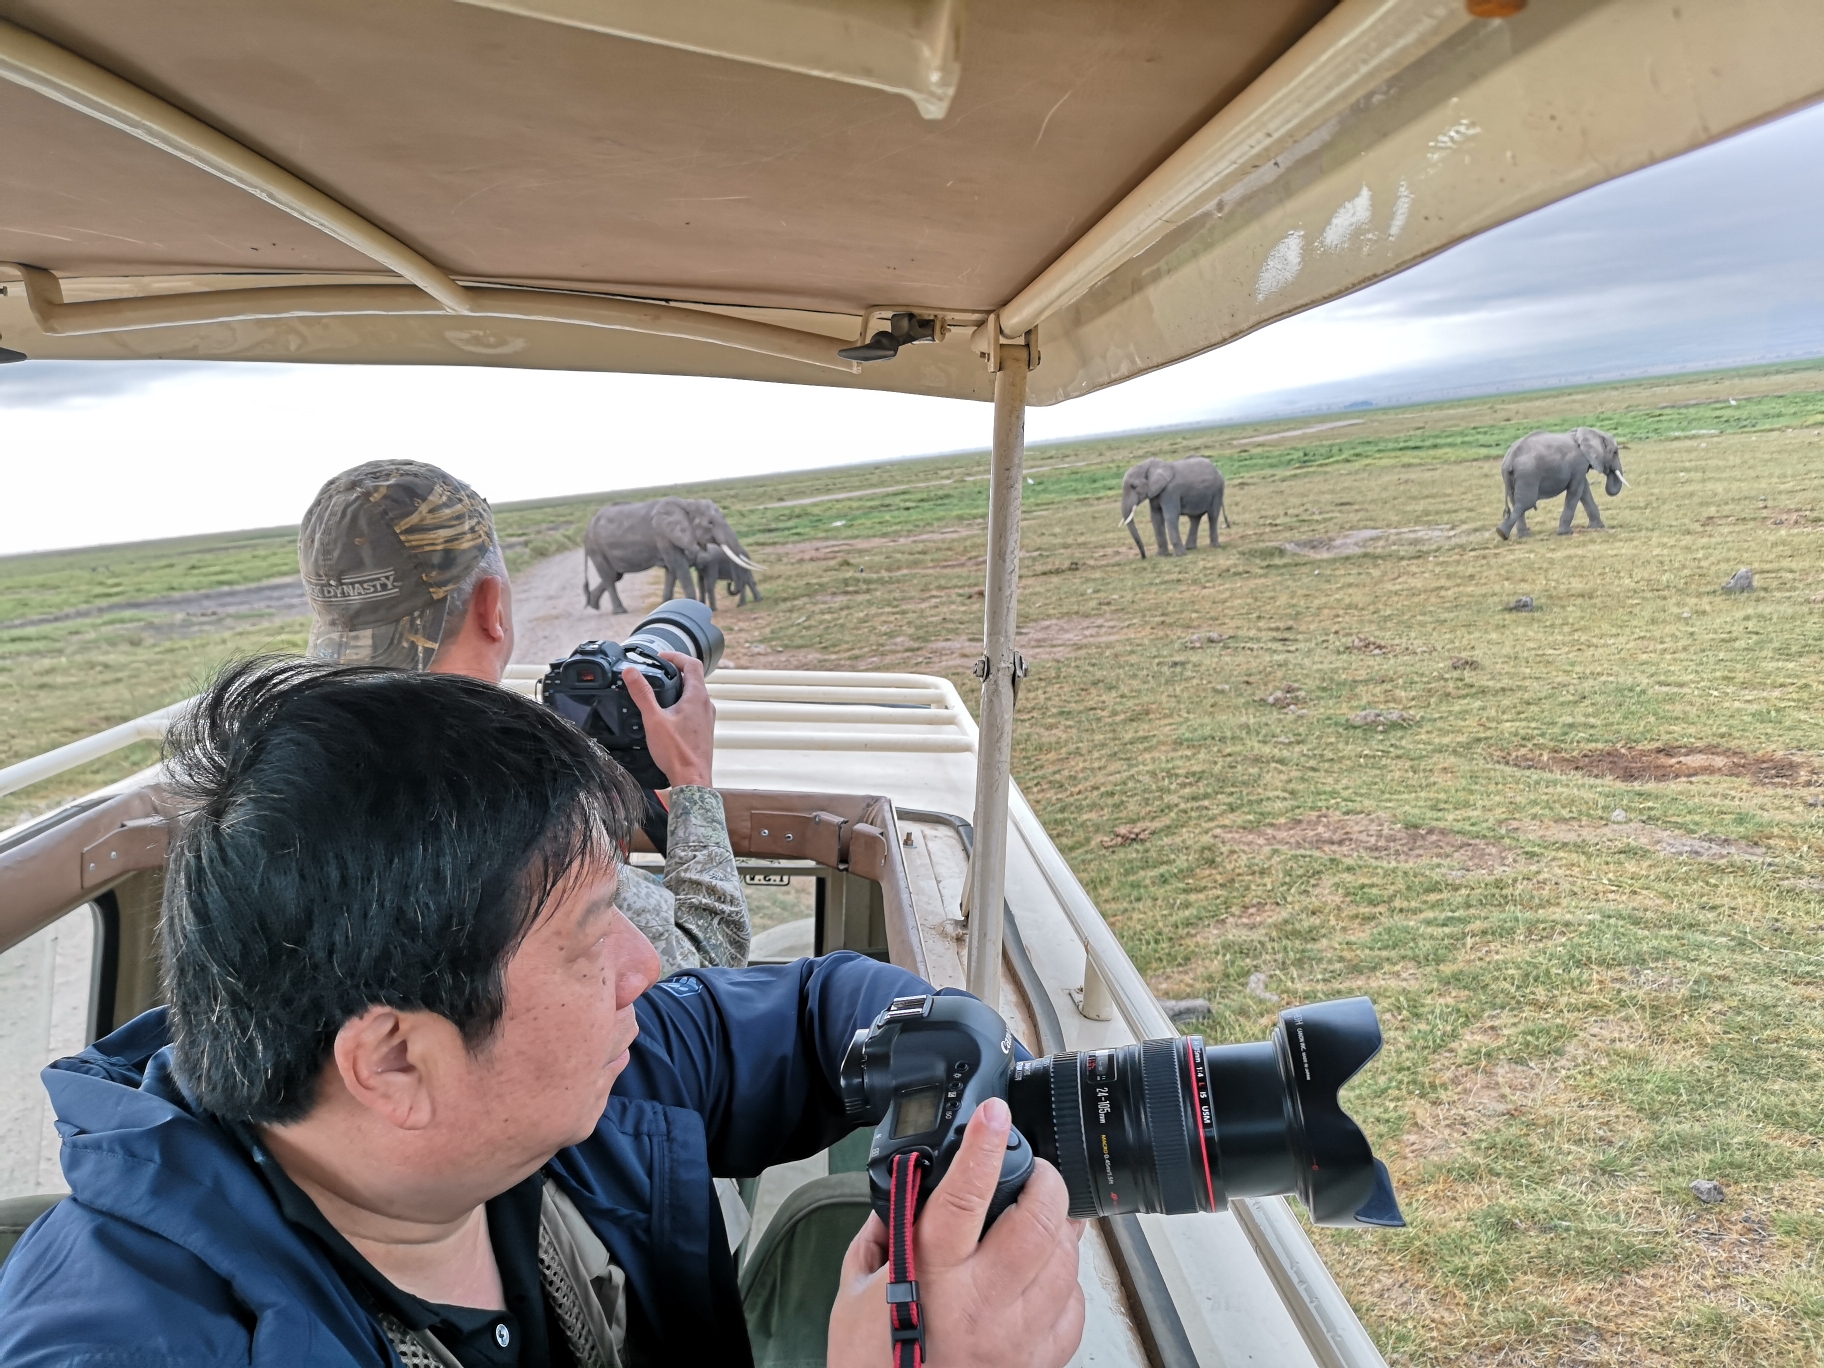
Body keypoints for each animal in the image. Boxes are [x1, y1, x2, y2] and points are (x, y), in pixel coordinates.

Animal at [1488, 428, 1634, 539]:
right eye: (1615, 452)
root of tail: (1509, 459)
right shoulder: (1579, 463)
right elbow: (1576, 491)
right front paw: (1565, 533)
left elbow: (1584, 491)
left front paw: (1598, 527)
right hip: (1528, 475)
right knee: (1525, 503)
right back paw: (1502, 534)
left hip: (1512, 477)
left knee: (1515, 502)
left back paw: (1520, 535)